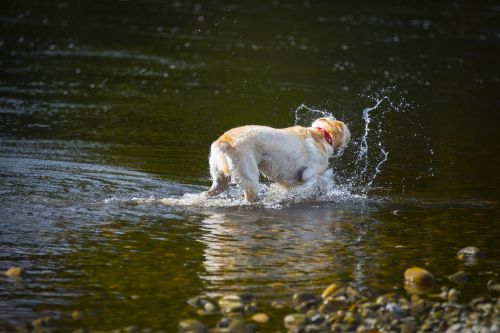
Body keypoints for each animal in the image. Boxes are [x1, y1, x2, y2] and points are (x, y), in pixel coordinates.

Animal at [201, 118, 350, 201]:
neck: (322, 135)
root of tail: (225, 140)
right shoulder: (309, 173)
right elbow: (324, 176)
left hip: (220, 180)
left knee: (206, 193)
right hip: (250, 180)